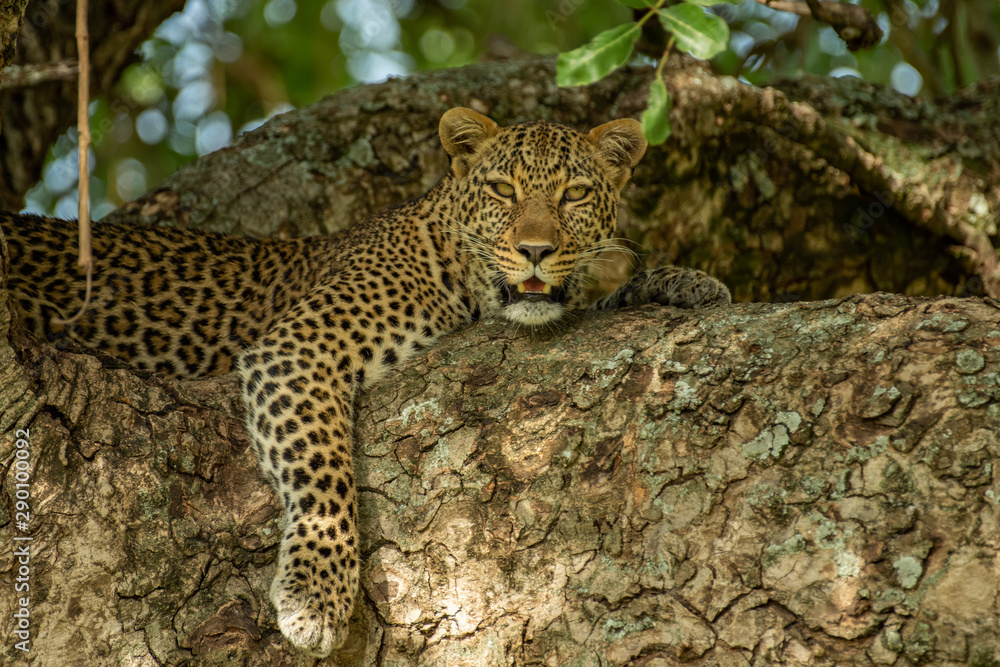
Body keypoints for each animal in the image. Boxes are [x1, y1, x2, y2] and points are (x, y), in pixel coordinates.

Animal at [3, 107, 730, 657]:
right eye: (502, 190)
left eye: (574, 195)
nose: (534, 250)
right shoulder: (298, 345)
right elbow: (323, 473)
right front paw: (316, 596)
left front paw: (682, 281)